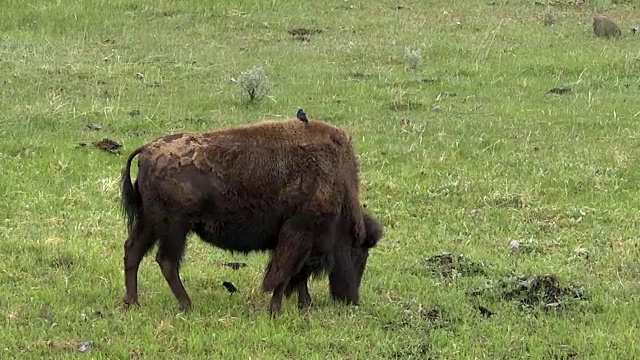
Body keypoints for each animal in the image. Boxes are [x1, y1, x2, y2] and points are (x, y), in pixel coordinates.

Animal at [119, 118, 380, 316]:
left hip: (150, 223)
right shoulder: (297, 234)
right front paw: (276, 310)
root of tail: (147, 150)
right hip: (174, 228)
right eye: (359, 253)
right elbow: (283, 274)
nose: (351, 300)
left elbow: (296, 275)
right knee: (166, 261)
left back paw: (132, 302)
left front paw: (304, 305)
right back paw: (187, 305)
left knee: (134, 251)